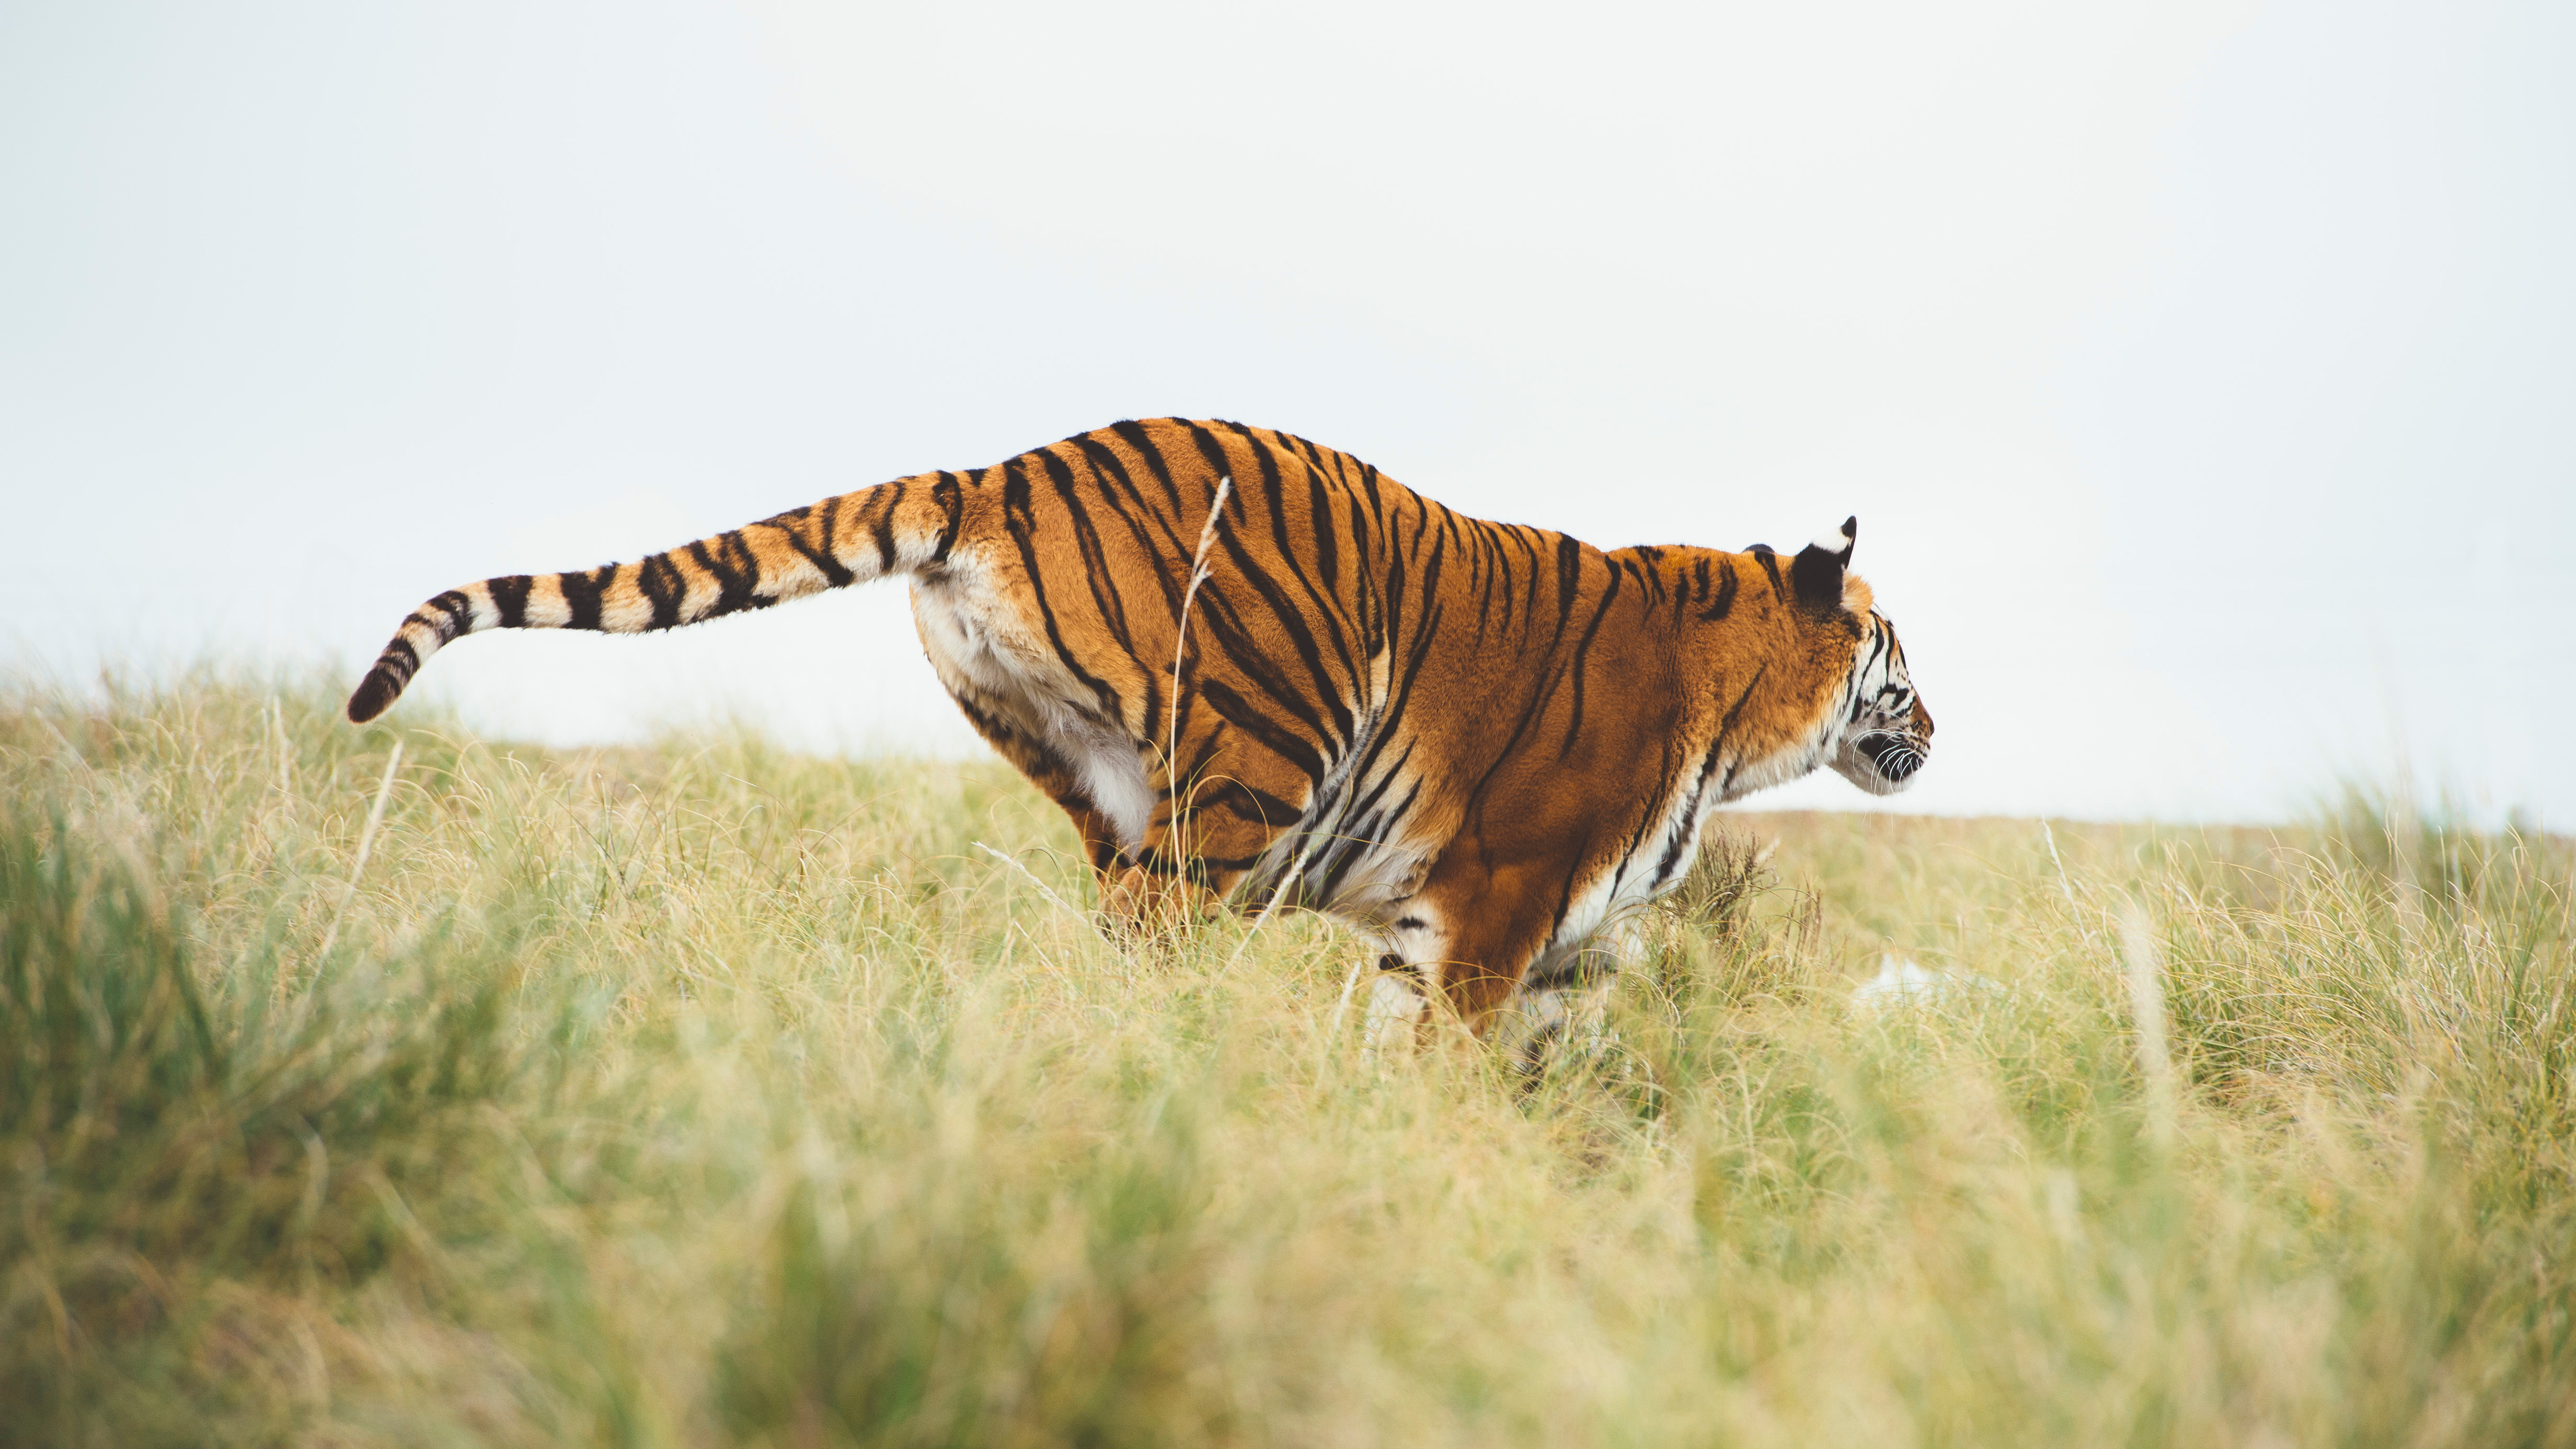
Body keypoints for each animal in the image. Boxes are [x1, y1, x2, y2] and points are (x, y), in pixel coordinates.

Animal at [348, 417, 1932, 1056]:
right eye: (1898, 657)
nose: (1937, 722)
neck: (1739, 717)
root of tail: (1000, 471)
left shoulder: (1550, 940)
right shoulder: (1494, 901)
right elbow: (1442, 1056)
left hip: (1102, 781)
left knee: (1107, 940)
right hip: (1256, 768)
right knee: (1157, 949)